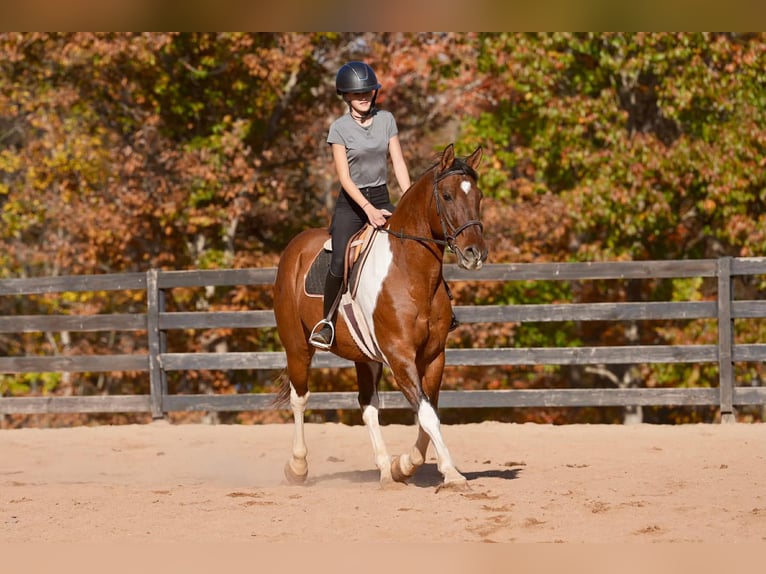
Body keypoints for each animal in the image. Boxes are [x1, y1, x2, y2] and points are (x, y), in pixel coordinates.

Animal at [272, 143, 487, 490]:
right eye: (448, 196)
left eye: (478, 196)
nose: (475, 254)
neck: (410, 273)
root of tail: (295, 248)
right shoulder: (400, 356)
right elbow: (427, 415)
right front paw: (452, 475)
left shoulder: (433, 356)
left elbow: (428, 413)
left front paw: (405, 465)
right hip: (297, 346)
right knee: (299, 397)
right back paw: (297, 467)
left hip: (366, 356)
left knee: (368, 406)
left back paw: (386, 471)